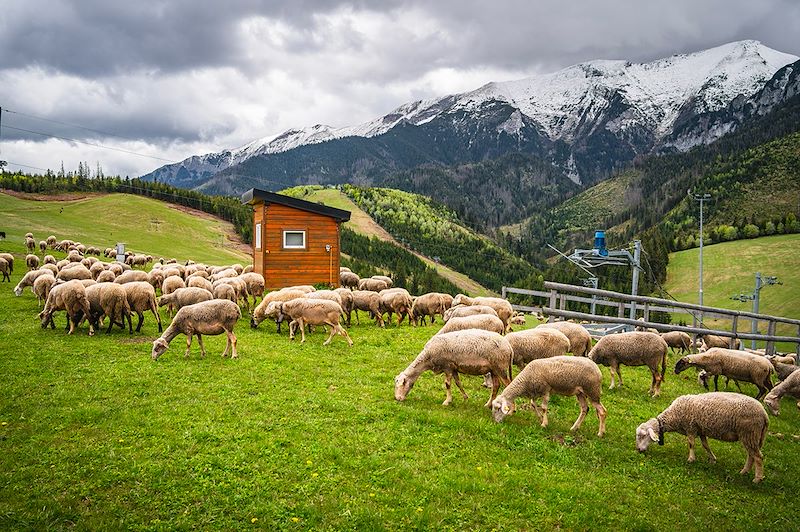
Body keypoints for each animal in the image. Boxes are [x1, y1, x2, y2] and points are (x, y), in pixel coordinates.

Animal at [635, 392, 768, 483]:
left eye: (642, 435)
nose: (639, 450)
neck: (673, 416)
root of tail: (765, 415)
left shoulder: (690, 427)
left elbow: (691, 444)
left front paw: (691, 459)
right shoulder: (701, 430)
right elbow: (705, 446)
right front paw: (713, 459)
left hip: (749, 432)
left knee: (758, 457)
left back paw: (757, 478)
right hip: (752, 436)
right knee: (751, 455)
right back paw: (744, 472)